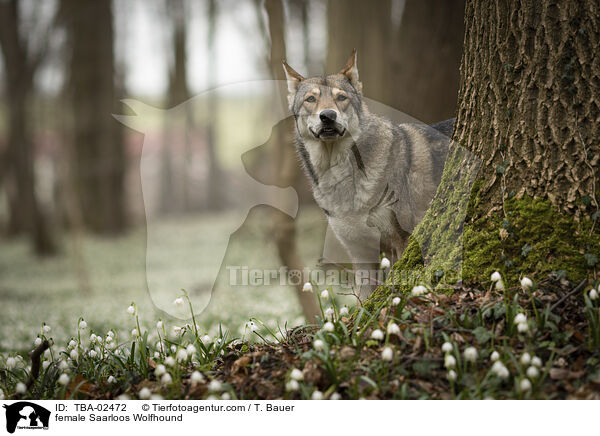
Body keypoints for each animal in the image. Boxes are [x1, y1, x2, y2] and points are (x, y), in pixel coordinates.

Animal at [284, 50, 452, 296]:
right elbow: (363, 298)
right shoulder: (361, 253)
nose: (328, 115)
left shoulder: (402, 242)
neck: (341, 177)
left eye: (341, 98)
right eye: (311, 99)